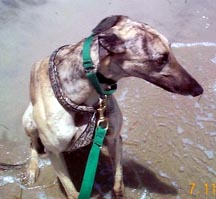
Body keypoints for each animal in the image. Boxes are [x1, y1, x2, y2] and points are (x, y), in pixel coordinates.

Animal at [21, 14, 202, 198]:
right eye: (161, 59)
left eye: (171, 50)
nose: (199, 90)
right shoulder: (55, 152)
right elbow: (72, 192)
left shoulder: (114, 138)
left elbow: (118, 182)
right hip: (29, 122)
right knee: (33, 144)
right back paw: (32, 169)